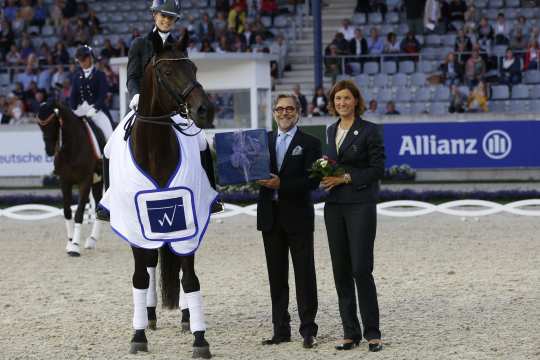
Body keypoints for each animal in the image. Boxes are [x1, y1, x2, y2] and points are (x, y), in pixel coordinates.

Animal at [37, 99, 105, 256]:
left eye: (54, 121)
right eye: (40, 125)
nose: (49, 151)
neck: (73, 148)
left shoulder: (85, 181)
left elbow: (79, 213)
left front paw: (75, 246)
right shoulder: (64, 181)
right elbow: (67, 211)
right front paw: (69, 242)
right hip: (96, 182)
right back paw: (91, 240)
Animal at [112, 33, 215, 358]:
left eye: (194, 68)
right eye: (167, 72)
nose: (205, 110)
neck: (155, 149)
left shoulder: (188, 220)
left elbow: (190, 278)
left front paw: (199, 338)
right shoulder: (134, 225)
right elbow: (140, 277)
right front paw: (138, 334)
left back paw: (184, 317)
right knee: (150, 264)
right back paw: (150, 315)